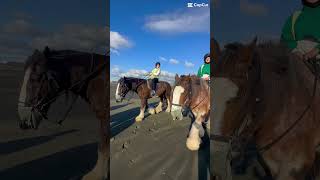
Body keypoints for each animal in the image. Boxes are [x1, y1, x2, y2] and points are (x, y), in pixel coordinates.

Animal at [17, 47, 110, 180]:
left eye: (35, 78)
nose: (23, 121)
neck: (97, 79)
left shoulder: (105, 117)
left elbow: (103, 144)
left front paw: (97, 175)